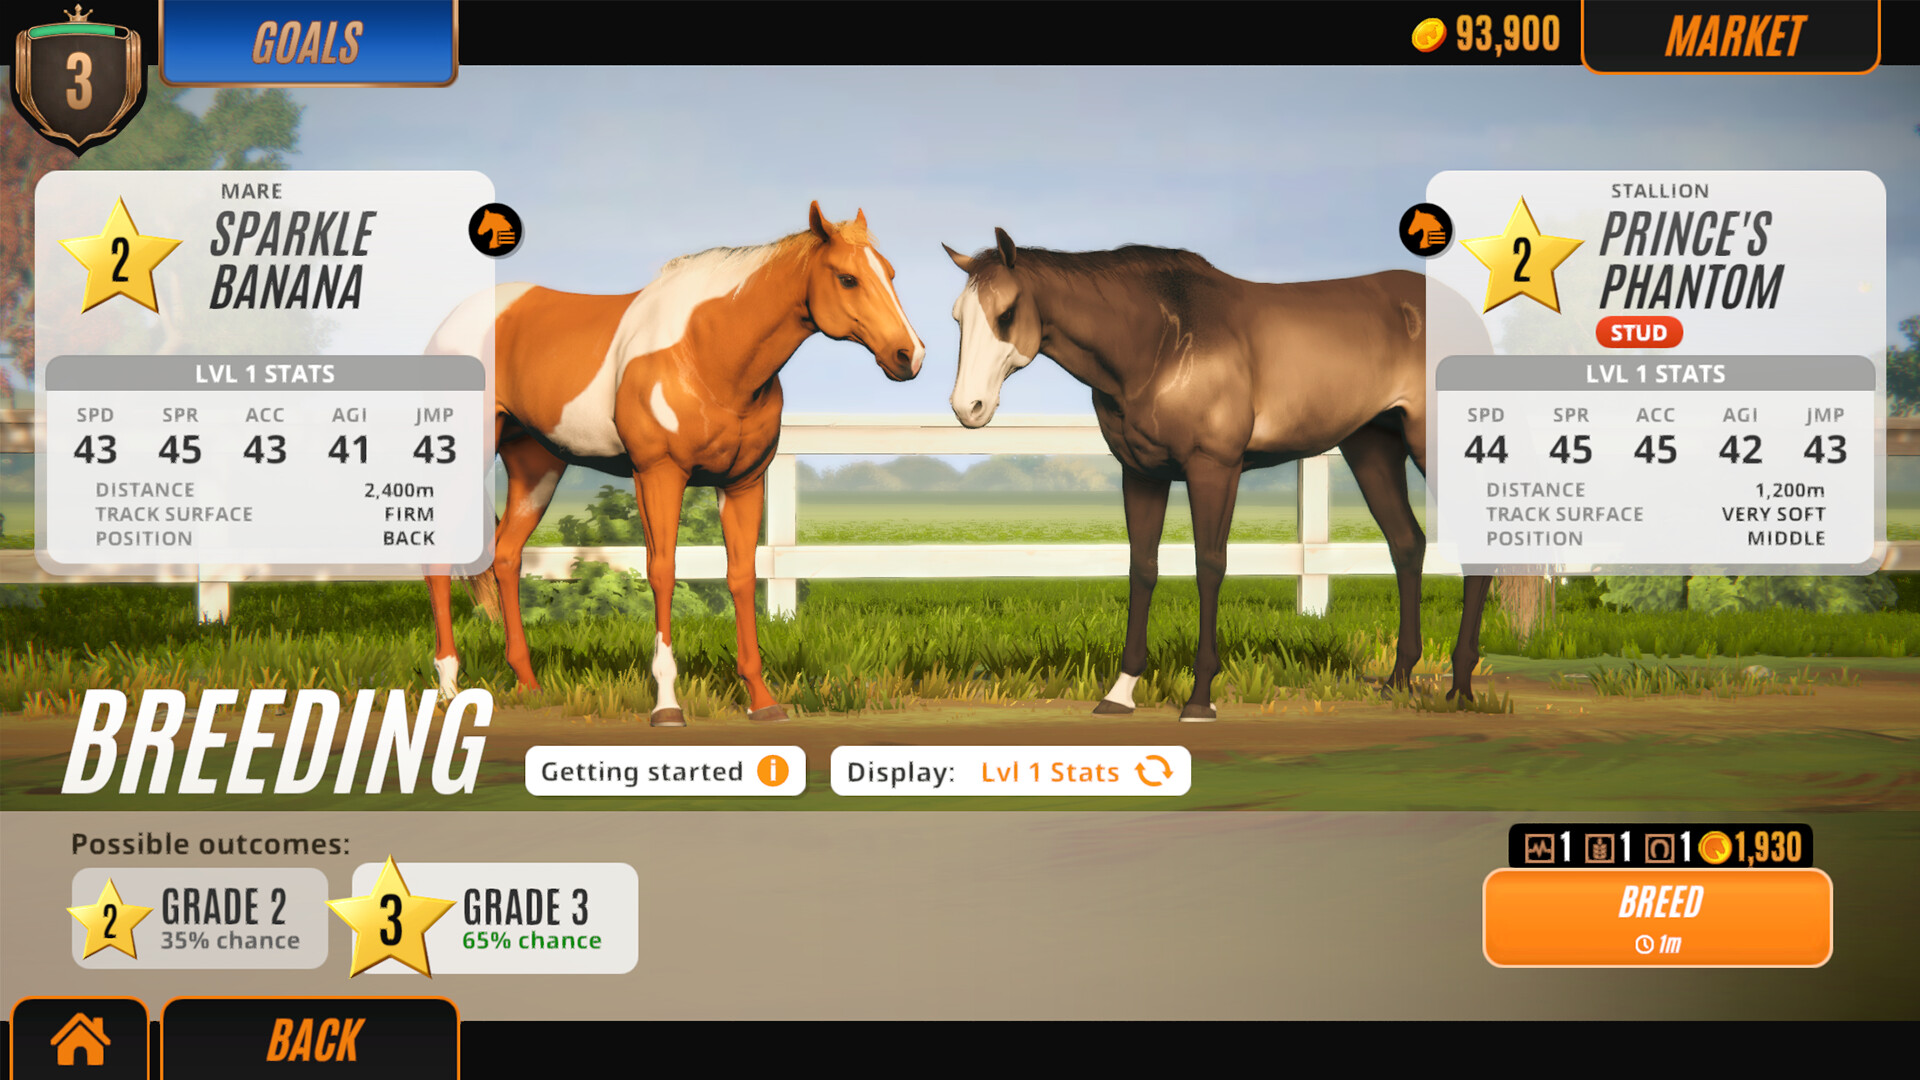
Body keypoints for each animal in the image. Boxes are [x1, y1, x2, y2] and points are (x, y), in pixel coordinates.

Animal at [425, 202, 924, 726]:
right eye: (847, 278)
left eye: (890, 273)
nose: (909, 355)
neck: (706, 354)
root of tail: (453, 324)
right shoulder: (658, 474)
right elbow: (662, 570)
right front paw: (666, 704)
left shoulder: (744, 482)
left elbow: (741, 577)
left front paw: (762, 699)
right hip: (466, 454)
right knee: (441, 557)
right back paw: (448, 687)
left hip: (536, 464)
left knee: (506, 556)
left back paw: (529, 683)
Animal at [942, 228, 1493, 719]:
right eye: (958, 318)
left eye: (1007, 312)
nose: (968, 407)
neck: (1160, 341)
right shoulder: (1141, 473)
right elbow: (1142, 568)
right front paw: (1120, 693)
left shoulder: (1214, 468)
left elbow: (1209, 566)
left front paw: (1199, 698)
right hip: (1372, 447)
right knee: (1407, 544)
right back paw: (1399, 681)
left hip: (1436, 444)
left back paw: (1460, 689)